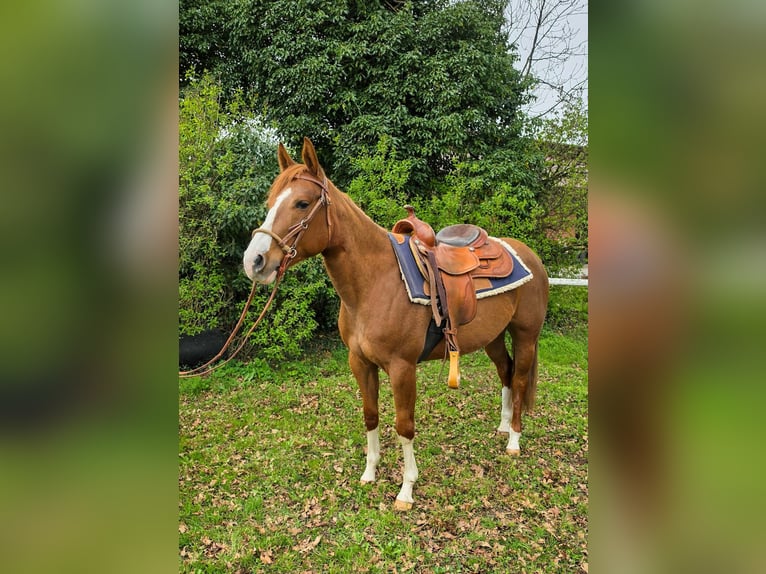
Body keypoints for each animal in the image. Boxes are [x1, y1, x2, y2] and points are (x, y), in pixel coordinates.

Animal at [243, 138, 549, 510]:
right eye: (270, 202)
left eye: (302, 203)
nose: (254, 261)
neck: (376, 283)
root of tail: (528, 255)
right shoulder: (360, 363)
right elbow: (371, 415)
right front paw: (369, 473)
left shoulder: (402, 368)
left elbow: (404, 425)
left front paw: (406, 490)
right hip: (493, 337)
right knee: (505, 371)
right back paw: (503, 426)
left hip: (526, 335)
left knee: (518, 379)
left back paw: (514, 440)